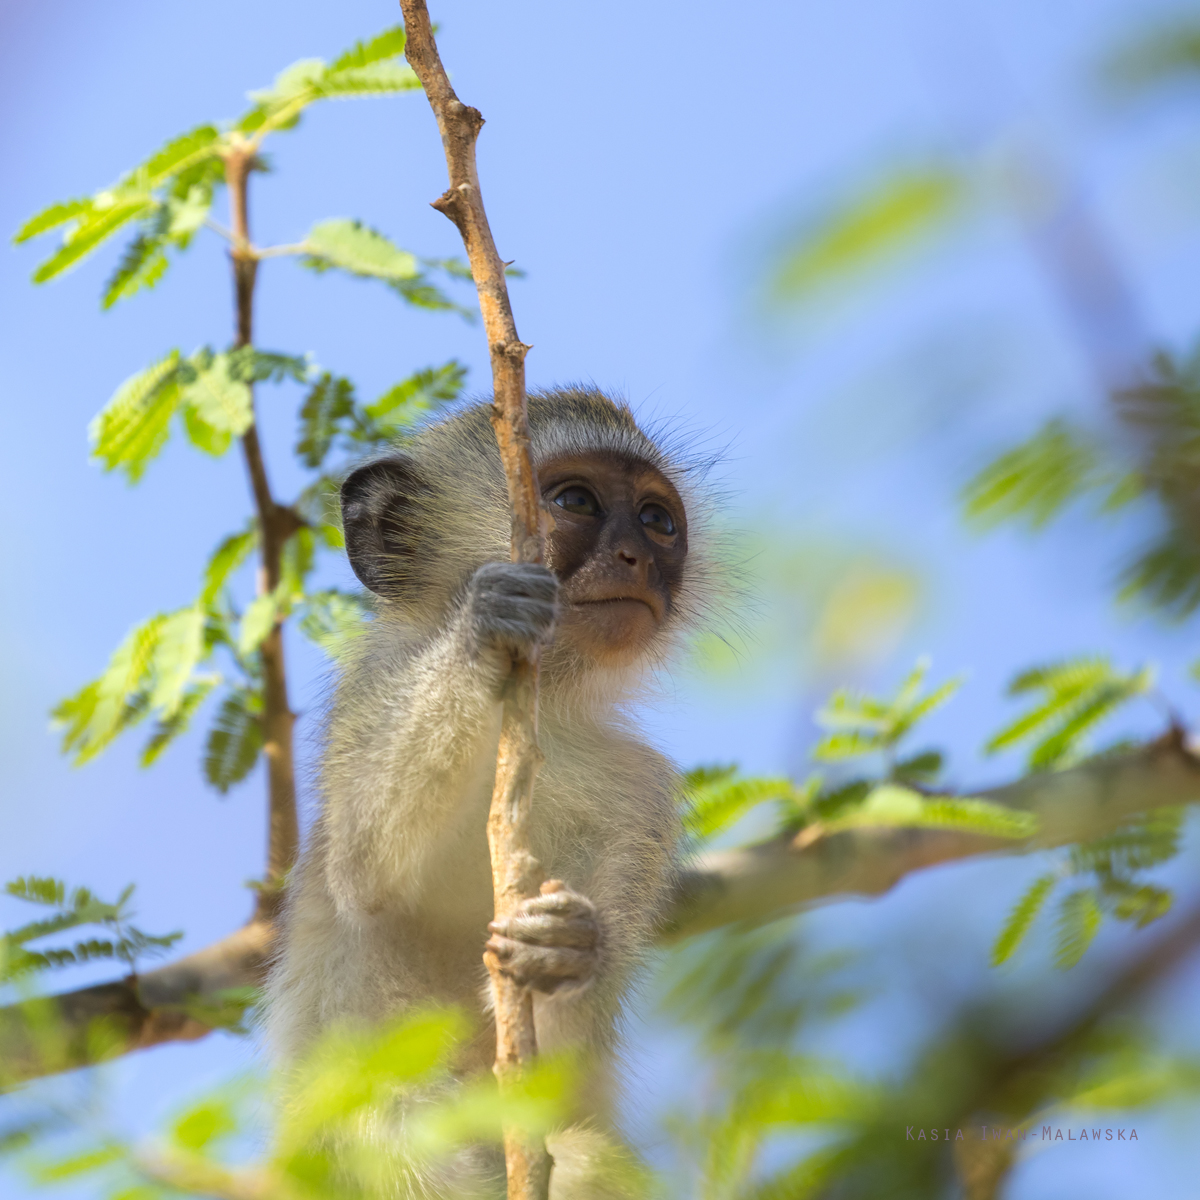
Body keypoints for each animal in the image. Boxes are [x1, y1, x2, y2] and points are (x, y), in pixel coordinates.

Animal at [267, 386, 715, 1190]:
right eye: (575, 501)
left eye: (658, 520)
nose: (636, 557)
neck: (543, 705)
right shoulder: (372, 684)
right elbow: (365, 870)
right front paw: (485, 627)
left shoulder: (644, 795)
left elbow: (565, 1046)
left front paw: (567, 948)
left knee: (582, 1160)